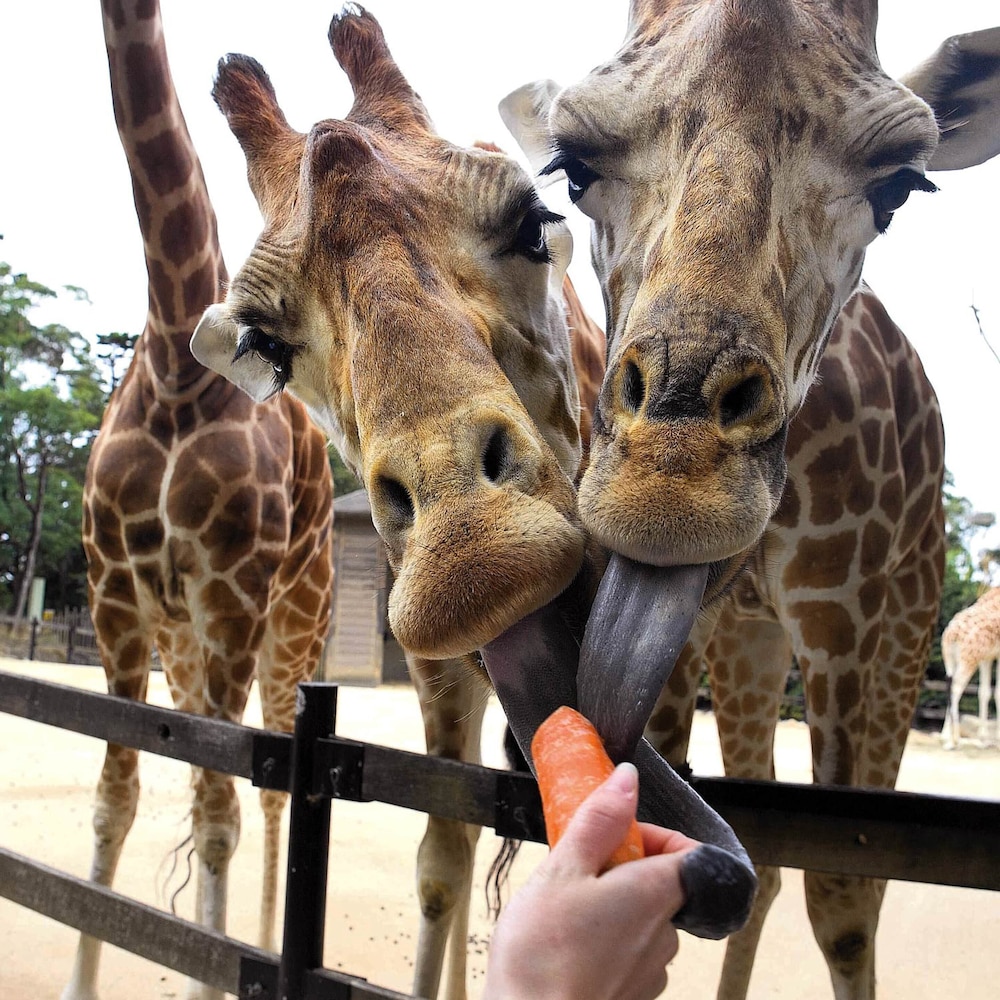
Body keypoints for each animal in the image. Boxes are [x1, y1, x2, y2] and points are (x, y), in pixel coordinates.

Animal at [68, 7, 338, 1000]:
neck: (175, 368)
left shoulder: (231, 590)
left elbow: (222, 807)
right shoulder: (113, 589)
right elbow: (115, 799)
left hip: (295, 622)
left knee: (266, 788)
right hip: (181, 638)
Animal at [940, 584, 996, 752]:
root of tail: (952, 635)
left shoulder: (987, 656)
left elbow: (984, 692)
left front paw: (984, 739)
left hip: (950, 659)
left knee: (949, 684)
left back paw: (945, 736)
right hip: (968, 660)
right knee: (956, 688)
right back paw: (954, 740)